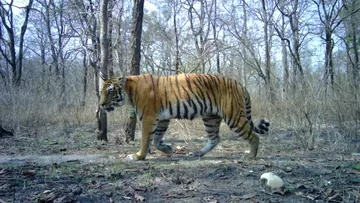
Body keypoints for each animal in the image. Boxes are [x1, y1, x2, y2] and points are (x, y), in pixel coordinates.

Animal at [100, 73, 268, 161]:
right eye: (102, 92)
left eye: (110, 92)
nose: (101, 104)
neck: (129, 91)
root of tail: (240, 84)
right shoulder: (162, 119)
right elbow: (156, 139)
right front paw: (168, 149)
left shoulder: (149, 118)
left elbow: (146, 140)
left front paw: (138, 156)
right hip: (211, 118)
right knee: (215, 138)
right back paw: (198, 153)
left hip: (233, 116)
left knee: (253, 136)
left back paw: (251, 157)